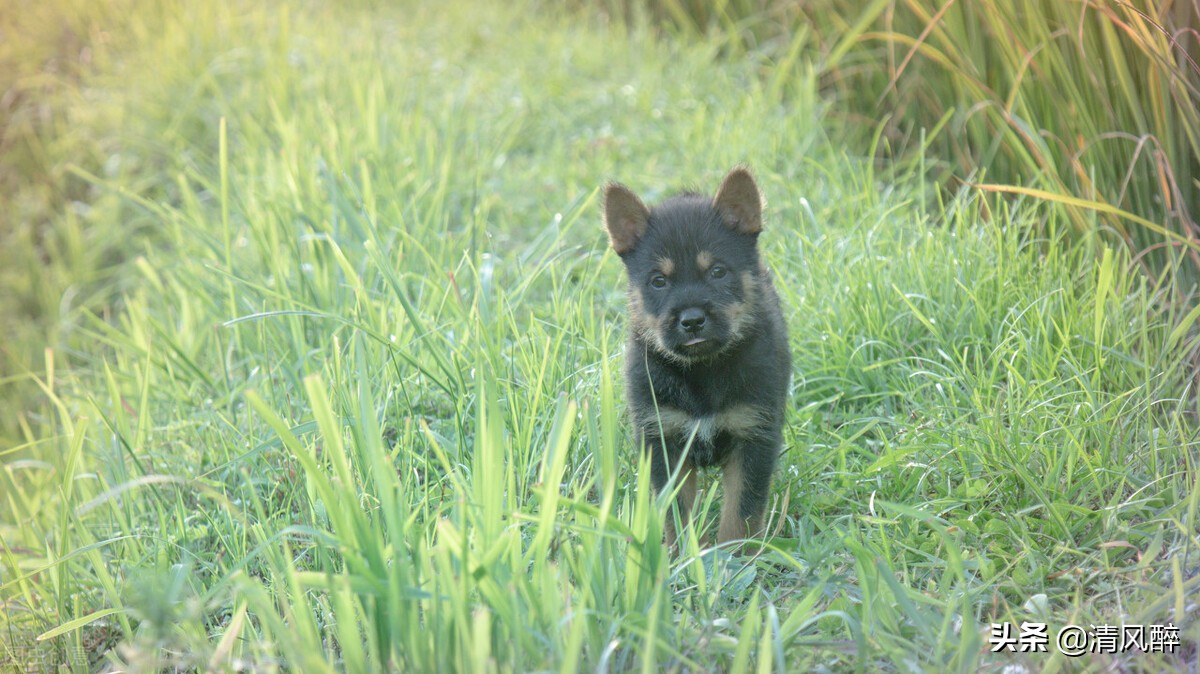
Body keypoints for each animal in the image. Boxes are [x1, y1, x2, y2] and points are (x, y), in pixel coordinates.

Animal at [604, 166, 792, 546]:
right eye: (658, 281)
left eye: (718, 271)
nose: (691, 320)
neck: (702, 372)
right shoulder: (663, 440)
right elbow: (676, 513)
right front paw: (681, 553)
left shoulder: (753, 435)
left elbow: (741, 512)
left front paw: (736, 555)